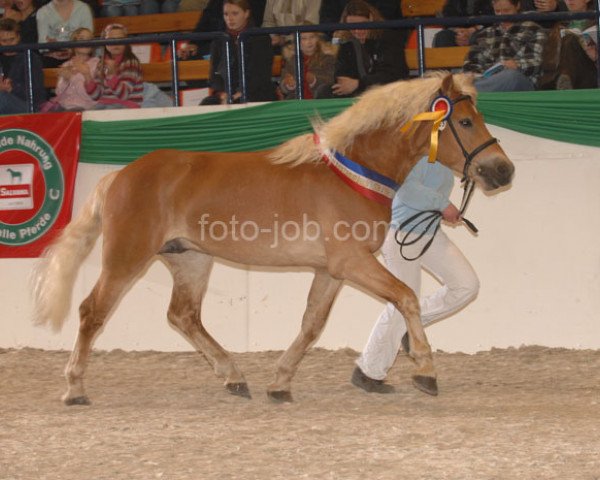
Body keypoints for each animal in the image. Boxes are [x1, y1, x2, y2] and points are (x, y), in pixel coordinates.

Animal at [30, 72, 512, 404]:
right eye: (464, 121)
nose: (502, 170)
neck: (353, 174)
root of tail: (119, 176)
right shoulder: (353, 263)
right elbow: (406, 298)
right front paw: (426, 370)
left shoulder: (332, 271)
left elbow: (312, 324)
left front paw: (280, 384)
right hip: (127, 257)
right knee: (93, 311)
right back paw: (74, 389)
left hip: (190, 259)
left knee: (183, 316)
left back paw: (234, 377)